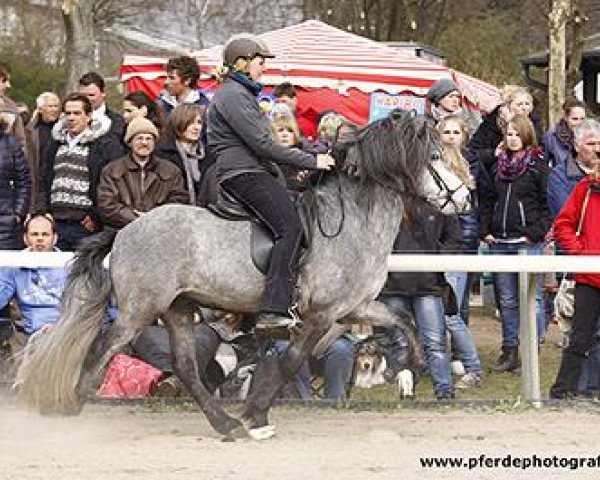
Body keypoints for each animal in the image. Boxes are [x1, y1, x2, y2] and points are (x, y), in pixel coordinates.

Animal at [15, 111, 436, 438]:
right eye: (434, 154)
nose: (453, 198)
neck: (352, 221)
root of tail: (124, 231)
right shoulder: (320, 315)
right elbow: (290, 362)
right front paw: (256, 415)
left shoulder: (354, 308)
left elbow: (403, 321)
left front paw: (415, 365)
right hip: (139, 310)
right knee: (103, 349)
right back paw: (72, 406)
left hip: (178, 308)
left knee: (186, 368)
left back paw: (224, 424)